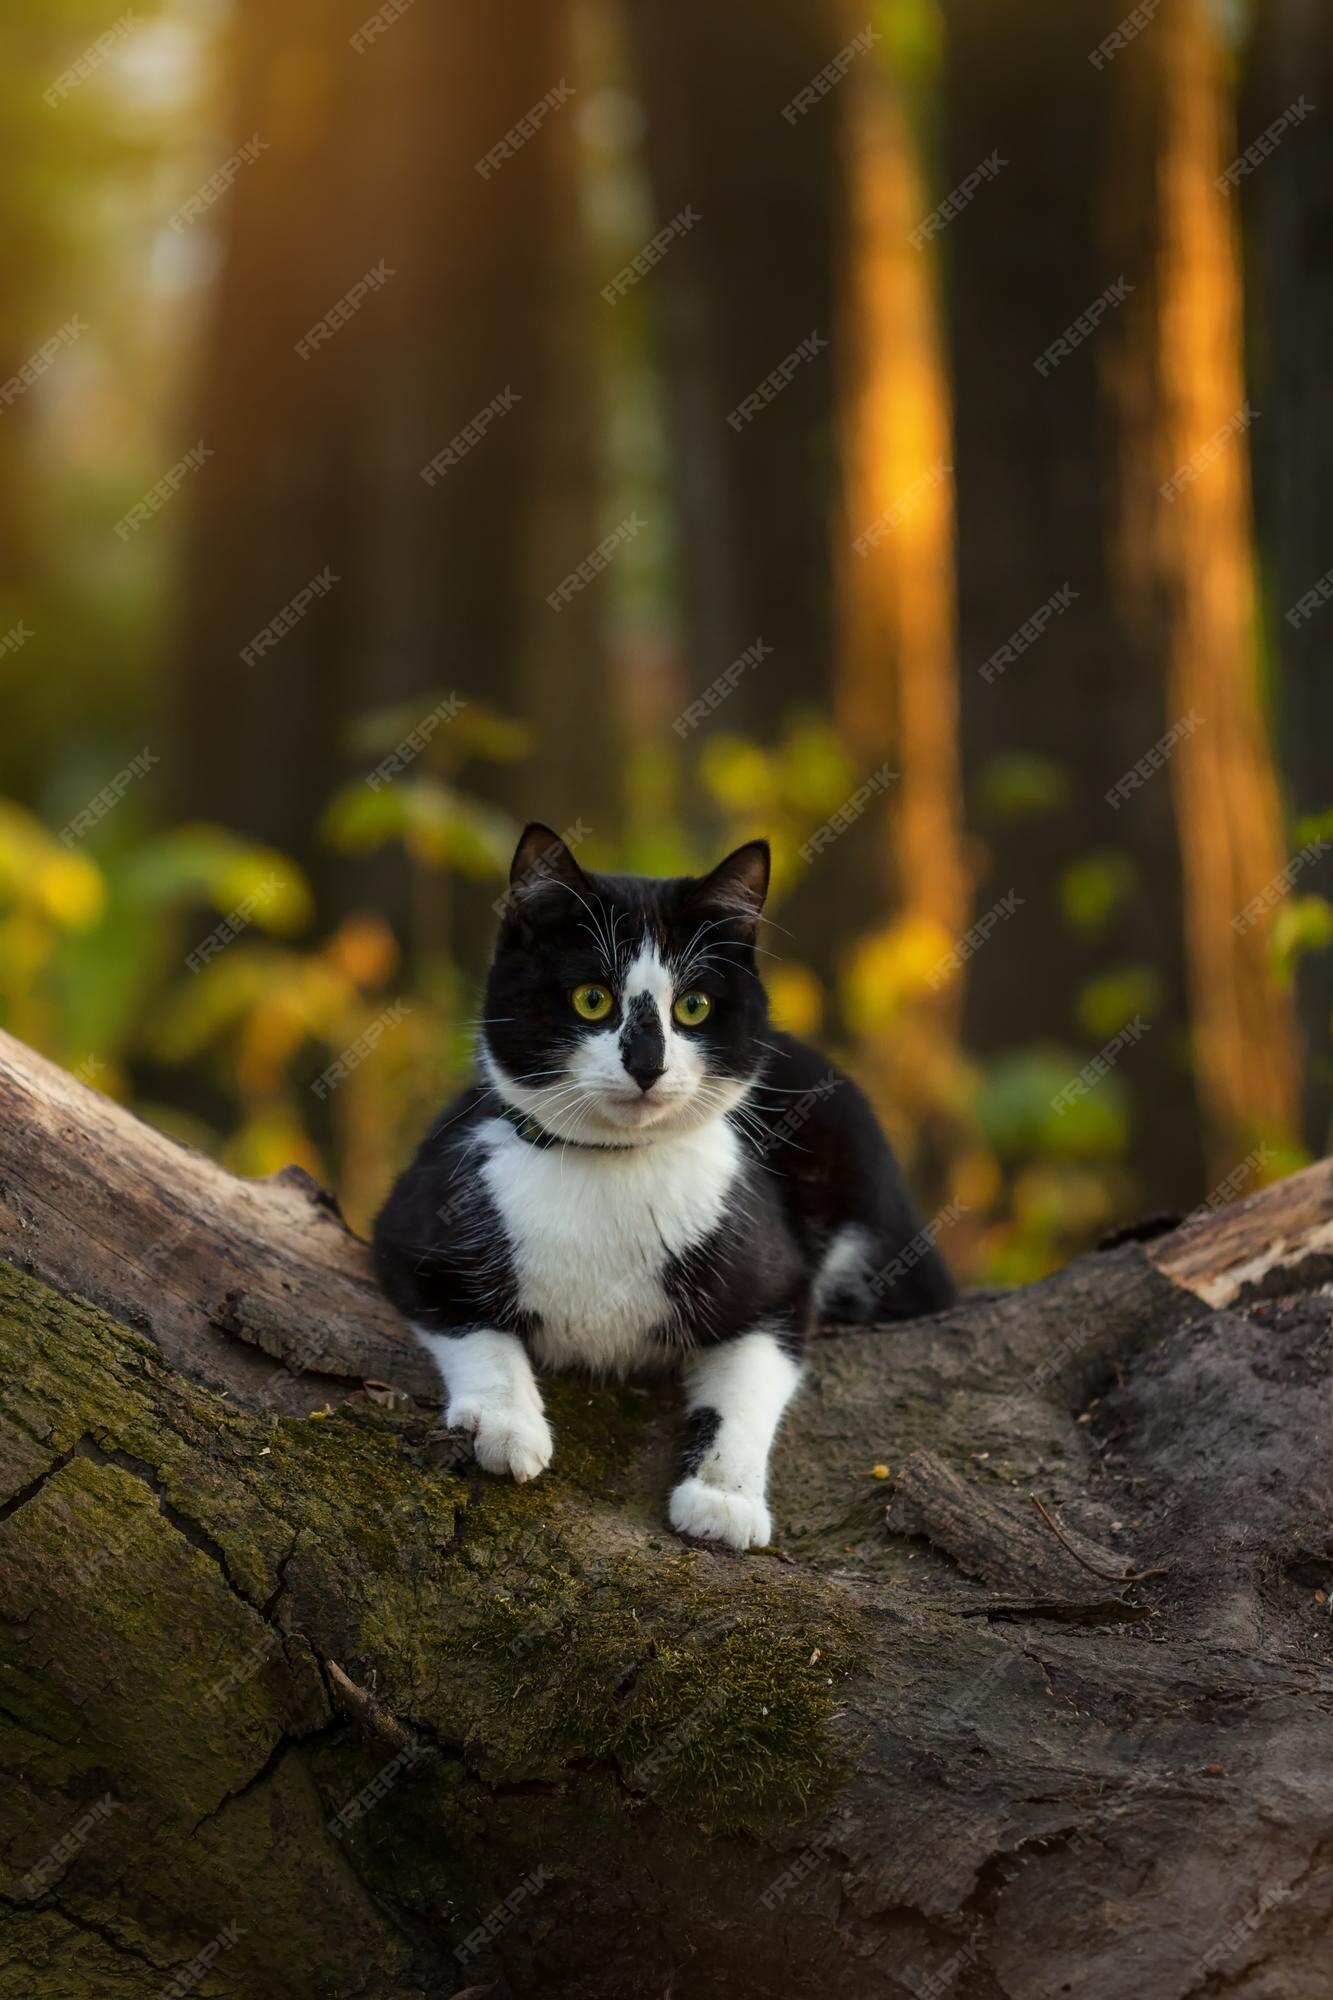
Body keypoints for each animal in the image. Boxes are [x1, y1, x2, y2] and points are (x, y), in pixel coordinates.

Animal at [374, 820, 948, 1552]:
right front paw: (507, 1425)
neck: (612, 1167)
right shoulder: (414, 1220)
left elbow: (752, 1378)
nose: (647, 1064)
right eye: (592, 998)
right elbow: (470, 1322)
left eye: (693, 1006)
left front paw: (723, 1497)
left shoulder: (776, 1277)